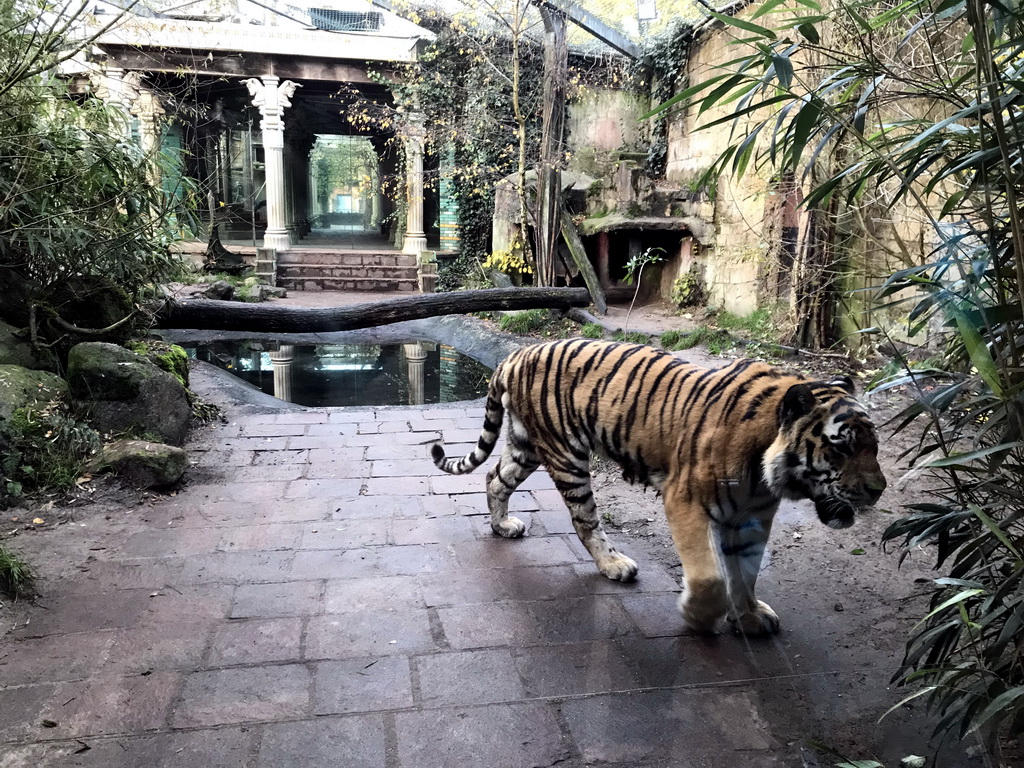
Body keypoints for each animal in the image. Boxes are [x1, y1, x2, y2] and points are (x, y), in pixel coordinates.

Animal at [428, 337, 884, 638]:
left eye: (874, 444)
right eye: (841, 447)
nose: (878, 489)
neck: (765, 471)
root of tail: (516, 353)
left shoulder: (754, 516)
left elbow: (746, 574)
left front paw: (750, 617)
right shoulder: (685, 502)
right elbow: (710, 578)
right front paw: (699, 618)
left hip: (526, 446)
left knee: (495, 478)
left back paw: (503, 526)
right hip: (566, 455)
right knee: (584, 520)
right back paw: (614, 565)